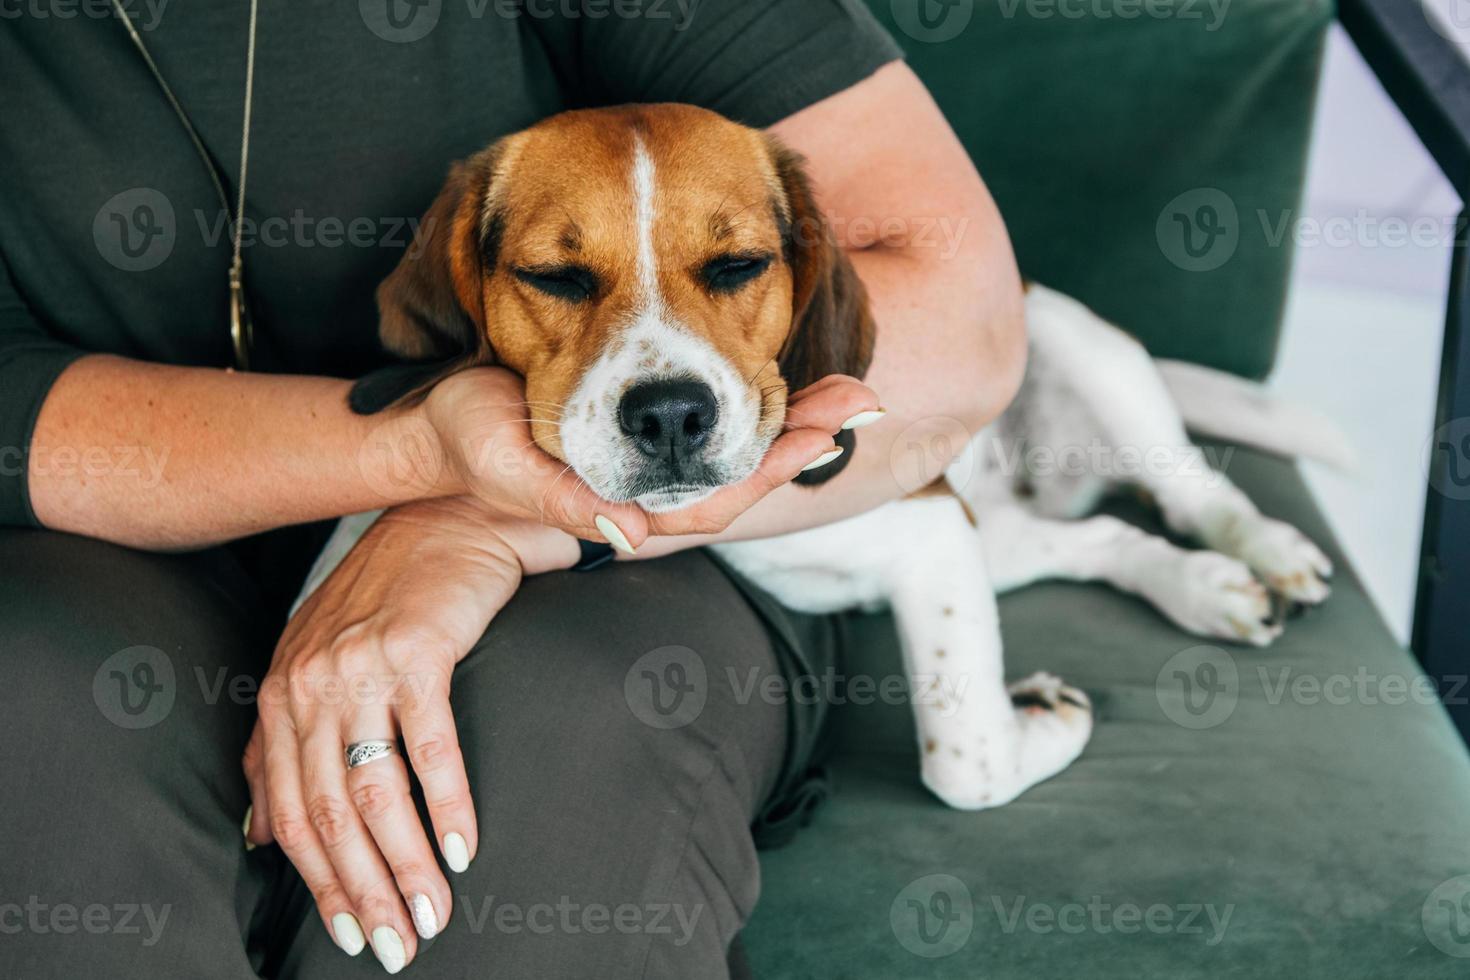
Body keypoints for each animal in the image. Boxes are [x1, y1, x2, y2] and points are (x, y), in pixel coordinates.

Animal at [304, 105, 1340, 811]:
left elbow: (965, 762)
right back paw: (1203, 588)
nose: (671, 414)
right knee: (1106, 545)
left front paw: (1041, 721)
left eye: (737, 266)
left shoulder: (931, 532)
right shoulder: (939, 534)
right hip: (995, 533)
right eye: (555, 278)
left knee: (1190, 490)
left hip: (1080, 349)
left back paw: (1264, 552)